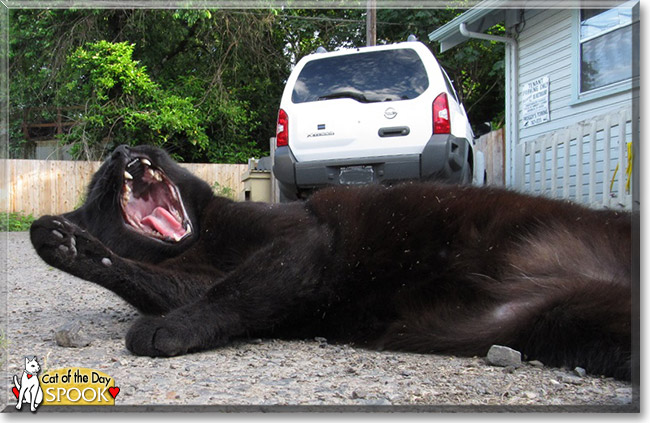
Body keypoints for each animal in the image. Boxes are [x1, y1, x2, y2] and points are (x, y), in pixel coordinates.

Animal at [30, 145, 632, 380]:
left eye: (144, 146)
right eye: (100, 181)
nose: (120, 151)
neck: (203, 240)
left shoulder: (301, 241)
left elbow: (232, 291)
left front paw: (165, 331)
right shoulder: (201, 277)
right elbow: (172, 284)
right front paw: (66, 244)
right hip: (577, 321)